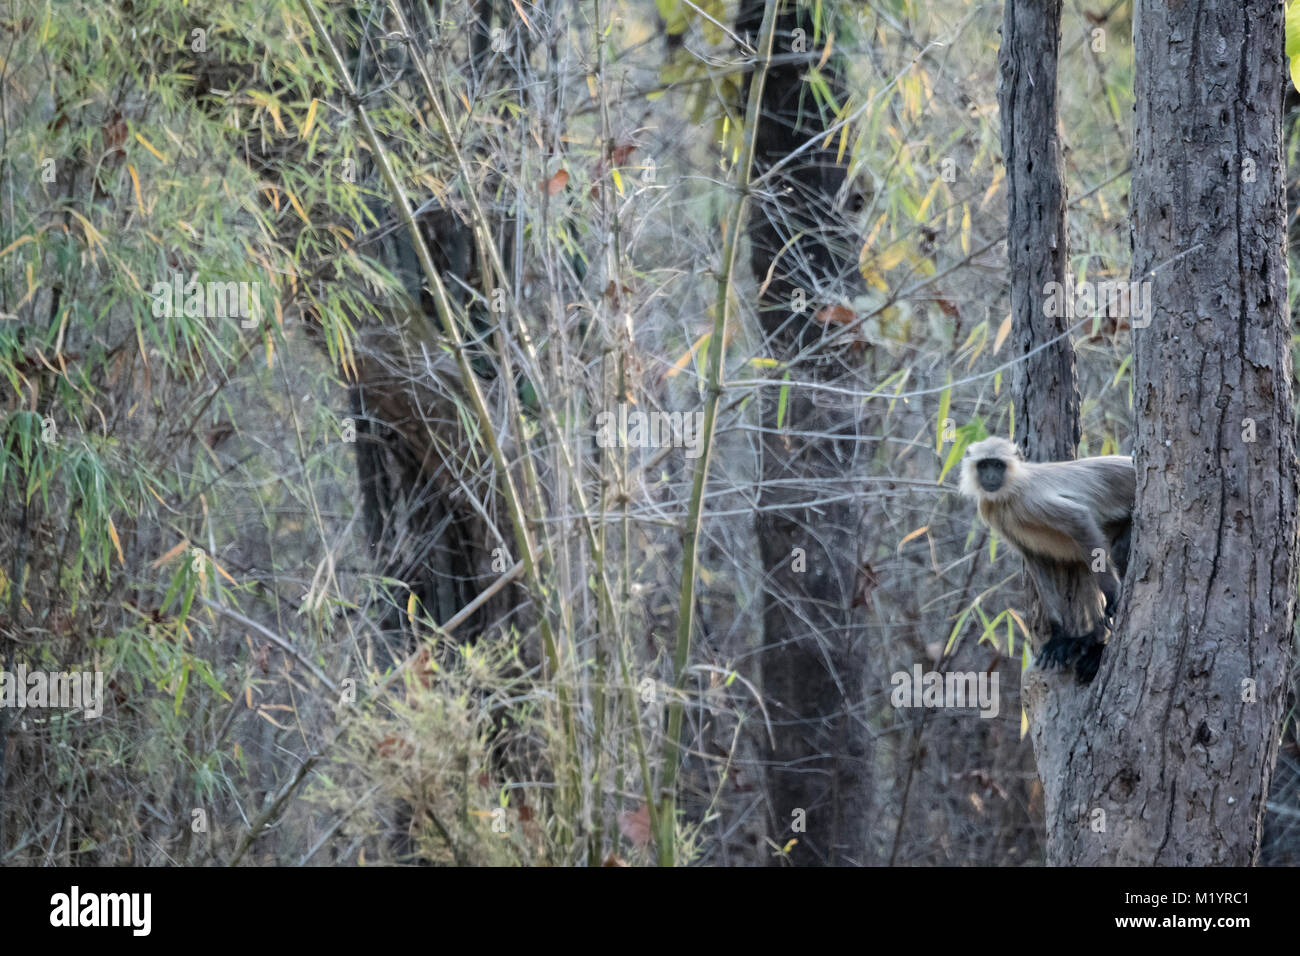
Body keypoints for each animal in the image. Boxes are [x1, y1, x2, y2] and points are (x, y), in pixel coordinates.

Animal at [961, 437, 1133, 686]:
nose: (990, 477)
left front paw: (1112, 598)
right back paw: (1090, 639)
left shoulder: (1028, 500)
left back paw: (1097, 646)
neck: (1009, 491)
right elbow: (1035, 557)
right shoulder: (994, 513)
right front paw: (1058, 635)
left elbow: (1079, 520)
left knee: (1109, 553)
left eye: (998, 465)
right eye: (984, 465)